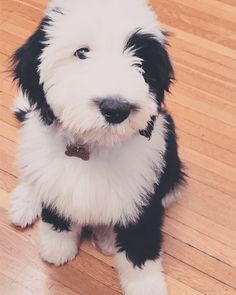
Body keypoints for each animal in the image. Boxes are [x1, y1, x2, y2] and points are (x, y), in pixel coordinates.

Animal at [9, 1, 185, 294]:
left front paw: (146, 286)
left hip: (172, 169)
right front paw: (57, 245)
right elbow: (56, 208)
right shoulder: (58, 181)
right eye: (81, 53)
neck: (91, 148)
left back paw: (107, 236)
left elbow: (139, 247)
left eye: (141, 59)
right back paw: (25, 202)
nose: (116, 108)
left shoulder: (145, 195)